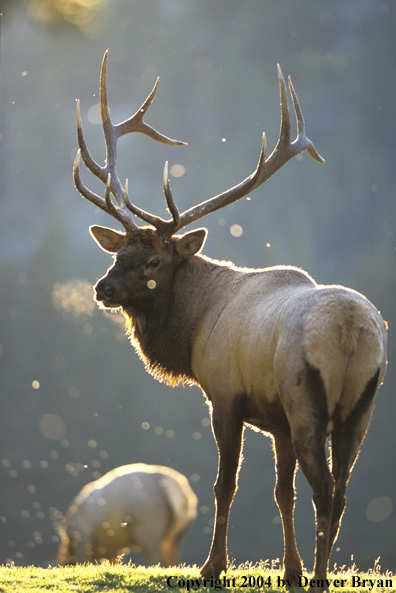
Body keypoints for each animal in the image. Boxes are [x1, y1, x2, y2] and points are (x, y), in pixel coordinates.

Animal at [56, 462, 196, 564]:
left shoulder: (83, 539)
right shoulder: (112, 550)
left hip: (148, 531)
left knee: (157, 562)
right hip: (174, 537)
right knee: (173, 563)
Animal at [73, 49, 386, 588]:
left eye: (154, 260)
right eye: (118, 253)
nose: (103, 289)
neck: (194, 329)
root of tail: (351, 333)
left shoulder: (225, 393)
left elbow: (225, 484)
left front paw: (213, 565)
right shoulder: (276, 422)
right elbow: (283, 493)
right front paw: (289, 569)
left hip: (306, 397)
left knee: (326, 487)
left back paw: (322, 576)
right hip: (360, 407)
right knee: (341, 488)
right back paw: (316, 570)